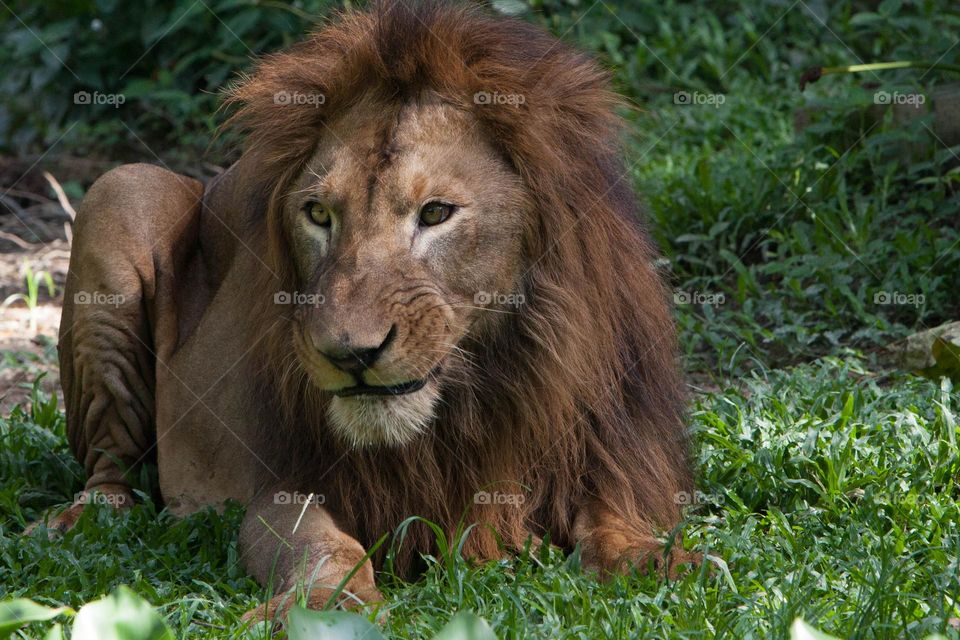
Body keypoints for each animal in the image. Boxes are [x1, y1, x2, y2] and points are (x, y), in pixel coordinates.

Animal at [40, 0, 695, 621]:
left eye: (436, 213)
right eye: (318, 214)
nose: (349, 353)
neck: (476, 398)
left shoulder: (614, 455)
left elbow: (617, 521)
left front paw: (663, 561)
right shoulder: (292, 483)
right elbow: (328, 549)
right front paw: (321, 607)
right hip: (121, 190)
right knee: (108, 464)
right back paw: (82, 522)